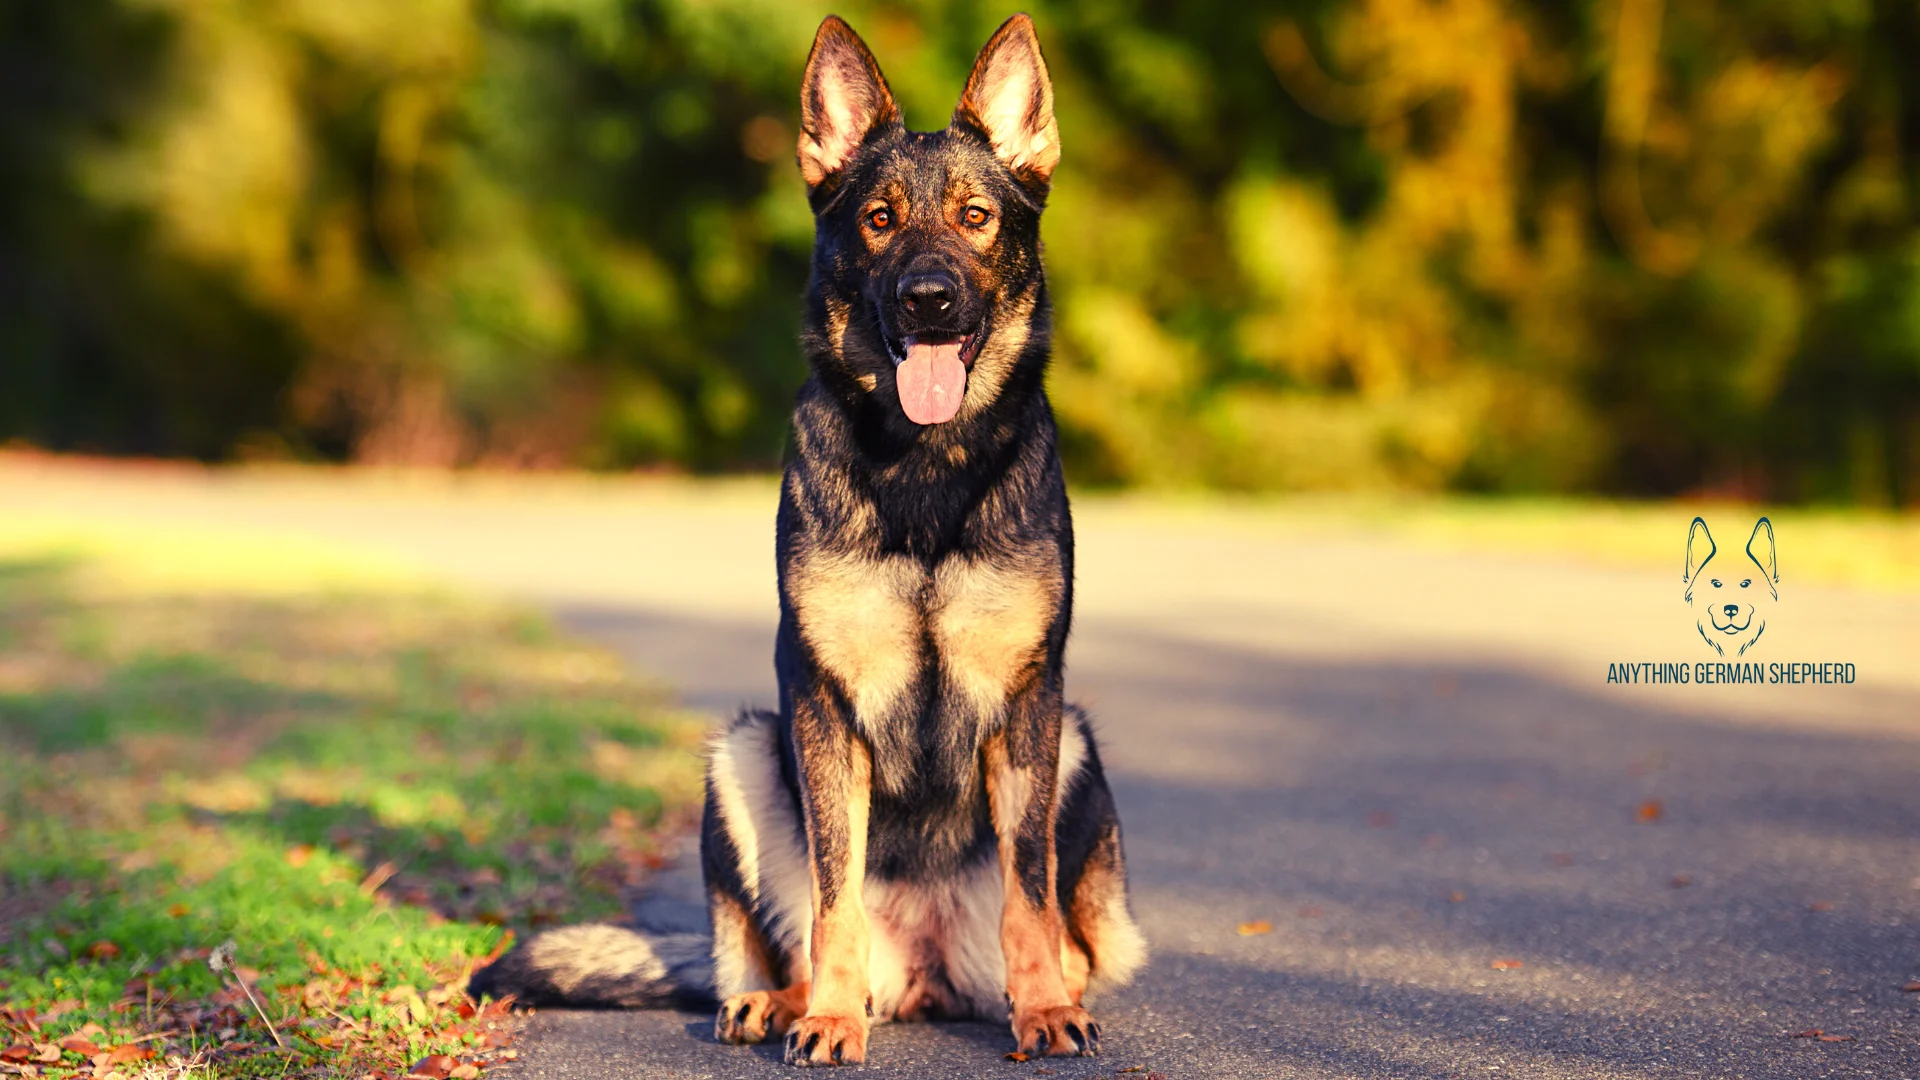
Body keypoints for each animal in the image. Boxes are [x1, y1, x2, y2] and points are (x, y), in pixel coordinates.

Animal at [470, 12, 1144, 1060]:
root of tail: (928, 976)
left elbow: (1028, 894)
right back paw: (783, 1001)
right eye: (879, 220)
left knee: (1055, 924)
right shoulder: (820, 702)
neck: (921, 470)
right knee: (774, 940)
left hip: (1072, 747)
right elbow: (837, 896)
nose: (927, 298)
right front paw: (826, 1015)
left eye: (975, 217)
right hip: (743, 750)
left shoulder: (1031, 702)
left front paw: (1043, 1012)